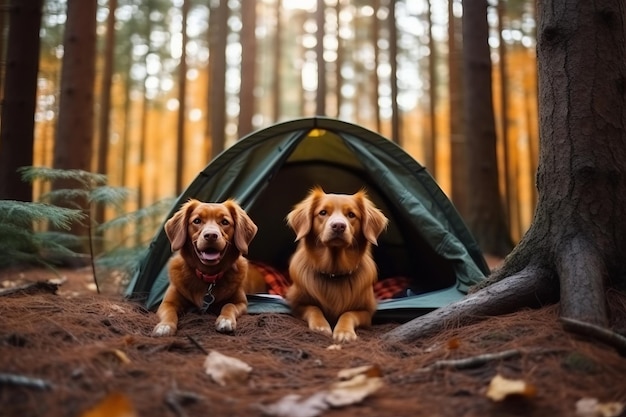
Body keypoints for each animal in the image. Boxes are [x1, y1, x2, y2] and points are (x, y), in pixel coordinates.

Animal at [151, 197, 256, 336]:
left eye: (225, 222)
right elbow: (169, 312)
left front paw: (225, 320)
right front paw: (165, 326)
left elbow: (229, 305)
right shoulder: (168, 302)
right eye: (197, 221)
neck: (208, 276)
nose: (211, 235)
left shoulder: (241, 303)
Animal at [286, 187, 388, 340]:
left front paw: (344, 332)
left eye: (351, 215)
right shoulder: (297, 304)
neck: (334, 272)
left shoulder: (366, 312)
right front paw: (321, 325)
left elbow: (348, 313)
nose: (338, 226)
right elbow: (314, 308)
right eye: (323, 212)